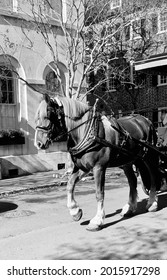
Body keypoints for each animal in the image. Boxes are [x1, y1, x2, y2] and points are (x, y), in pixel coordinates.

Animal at [34, 93, 160, 231]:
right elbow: (70, 184)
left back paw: (152, 203)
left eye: (48, 114)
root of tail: (146, 120)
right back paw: (130, 208)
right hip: (129, 160)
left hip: (149, 157)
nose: (38, 143)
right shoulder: (82, 167)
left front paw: (97, 220)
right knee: (132, 181)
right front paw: (75, 211)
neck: (87, 132)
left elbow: (99, 193)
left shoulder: (99, 167)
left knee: (153, 177)